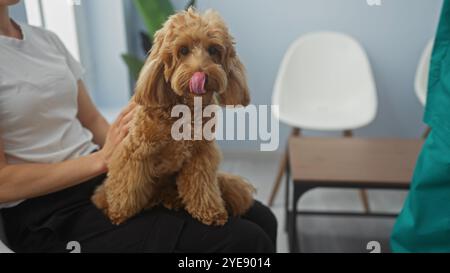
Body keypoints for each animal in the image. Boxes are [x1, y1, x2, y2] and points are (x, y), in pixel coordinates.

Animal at [89, 8, 255, 225]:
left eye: (213, 50)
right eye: (183, 50)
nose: (201, 75)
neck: (185, 109)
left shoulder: (200, 155)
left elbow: (202, 185)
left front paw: (211, 212)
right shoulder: (135, 151)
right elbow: (126, 183)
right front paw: (119, 212)